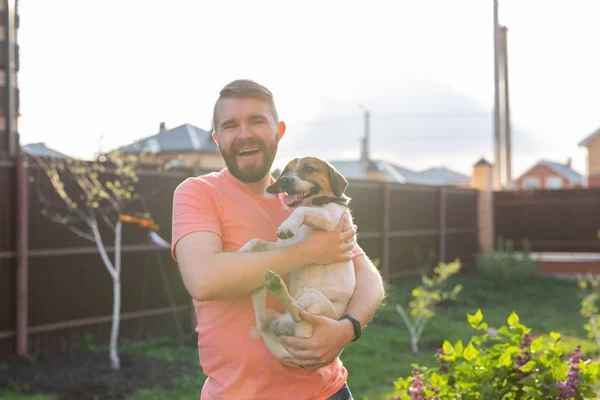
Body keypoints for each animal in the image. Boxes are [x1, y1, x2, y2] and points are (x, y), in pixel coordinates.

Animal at [238, 157, 356, 362]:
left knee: (299, 313)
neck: (317, 203)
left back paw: (277, 286)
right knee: (262, 322)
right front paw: (242, 251)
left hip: (313, 297)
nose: (284, 181)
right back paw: (262, 288)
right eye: (286, 170)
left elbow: (300, 212)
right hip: (274, 315)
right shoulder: (283, 246)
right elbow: (256, 241)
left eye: (309, 168)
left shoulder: (329, 220)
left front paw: (288, 224)